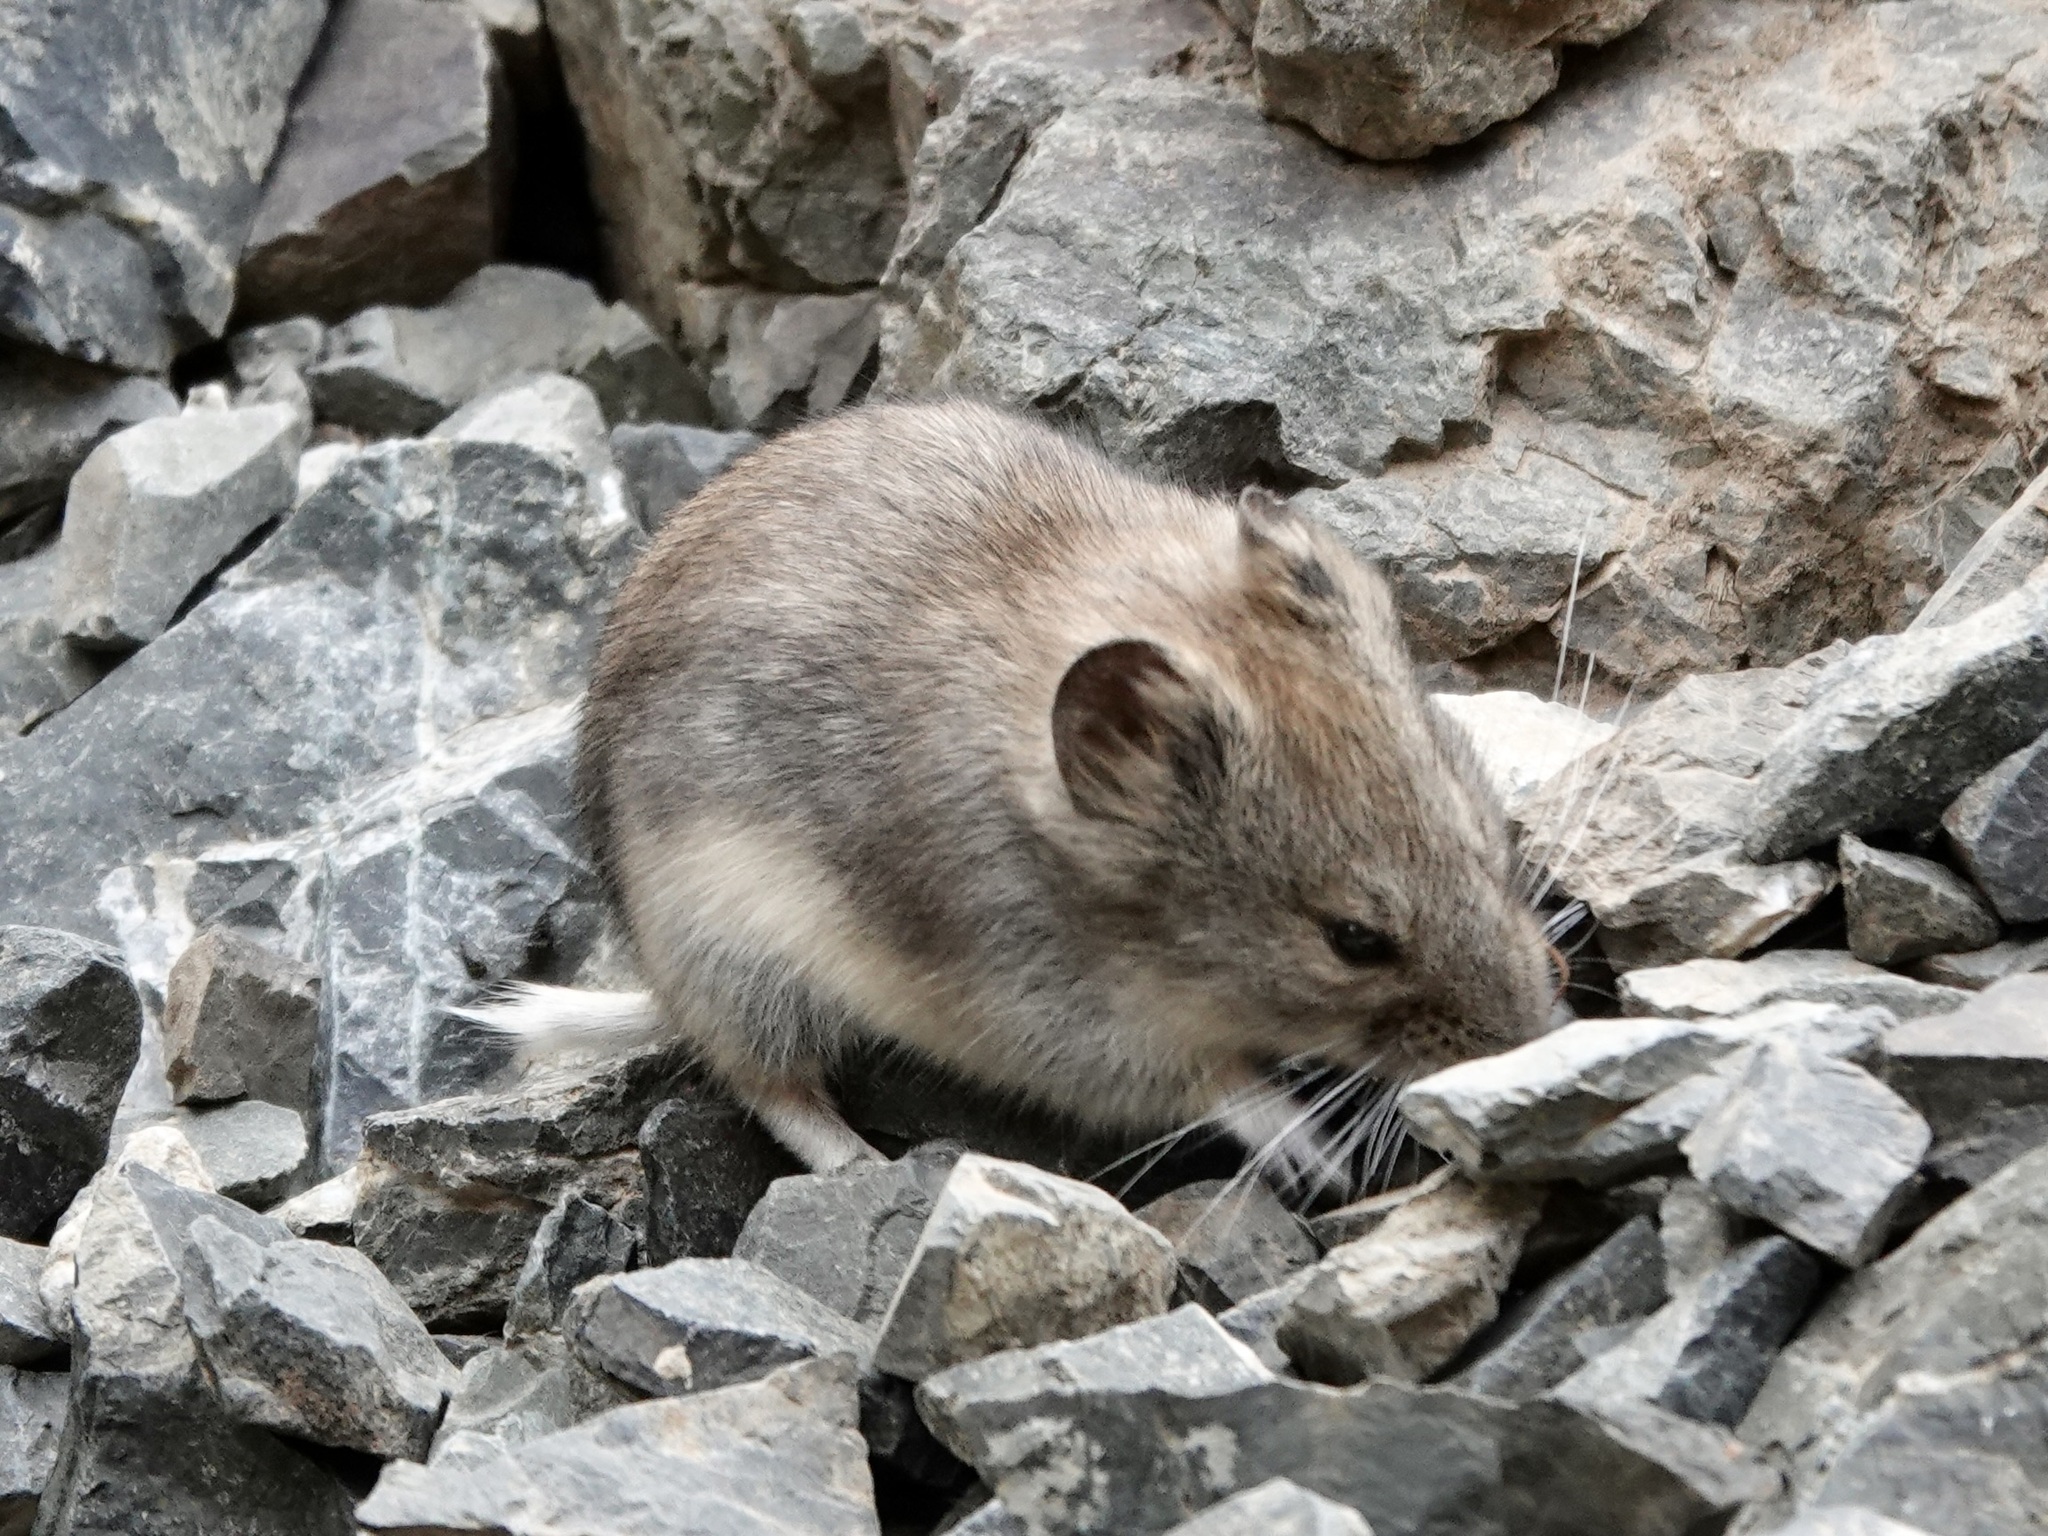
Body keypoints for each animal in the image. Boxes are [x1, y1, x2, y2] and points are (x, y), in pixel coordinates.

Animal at [476, 401, 1557, 1186]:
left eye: (1485, 833)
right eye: (1353, 940)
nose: (1540, 1036)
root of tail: (658, 985)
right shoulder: (1054, 1022)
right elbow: (1214, 1080)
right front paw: (1314, 1155)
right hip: (739, 959)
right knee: (769, 1086)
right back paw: (867, 1168)